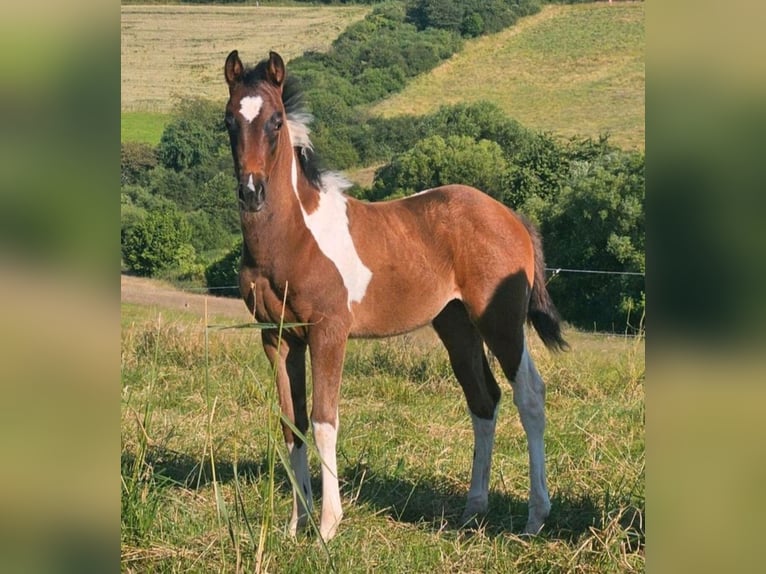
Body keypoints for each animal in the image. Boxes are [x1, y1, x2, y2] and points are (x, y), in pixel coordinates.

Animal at [223, 50, 568, 542]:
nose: (251, 193)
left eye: (274, 121)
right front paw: (295, 525)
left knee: (530, 395)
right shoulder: (278, 336)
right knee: (483, 399)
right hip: (455, 324)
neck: (294, 239)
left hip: (500, 323)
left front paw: (327, 527)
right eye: (229, 120)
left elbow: (325, 421)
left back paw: (535, 517)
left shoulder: (329, 333)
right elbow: (293, 423)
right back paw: (472, 511)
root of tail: (512, 216)